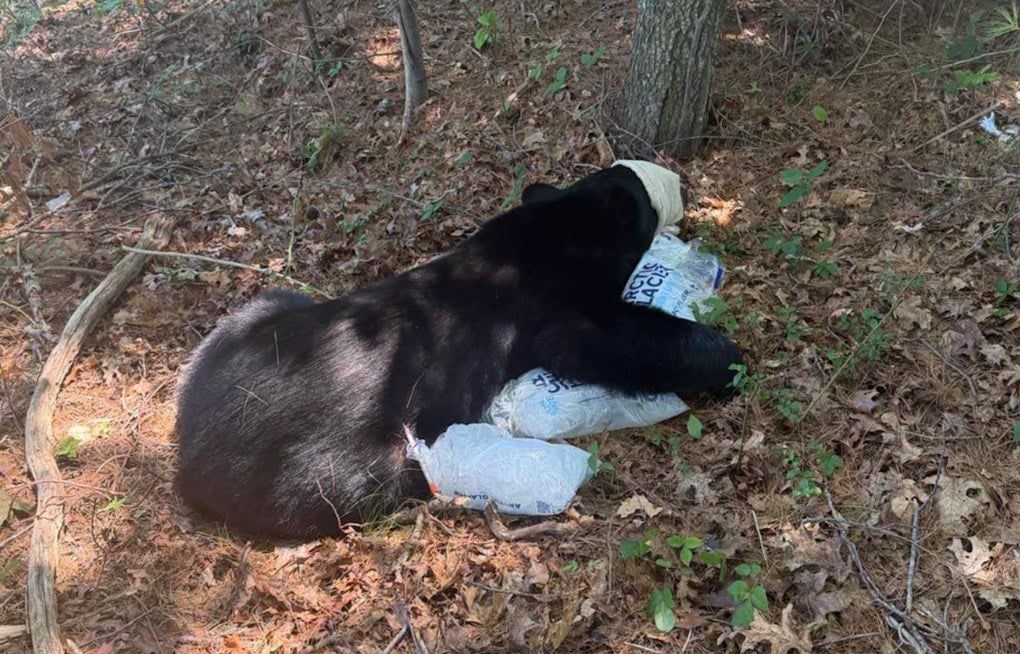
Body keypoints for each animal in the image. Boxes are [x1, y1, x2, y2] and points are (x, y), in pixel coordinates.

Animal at [173, 161, 743, 538]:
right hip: (330, 468)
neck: (551, 233)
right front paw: (729, 360)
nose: (671, 182)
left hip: (253, 314)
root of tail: (187, 454)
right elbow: (613, 338)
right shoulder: (556, 310)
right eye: (646, 201)